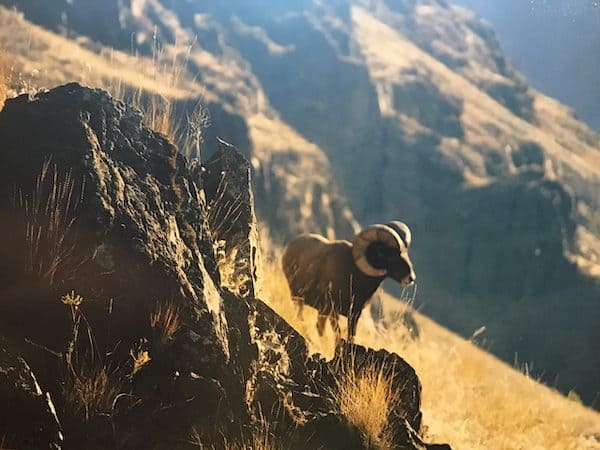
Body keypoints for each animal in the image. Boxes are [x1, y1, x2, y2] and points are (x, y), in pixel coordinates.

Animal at [280, 221, 412, 342]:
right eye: (389, 254)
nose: (411, 277)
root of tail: (289, 248)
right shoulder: (332, 311)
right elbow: (335, 333)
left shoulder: (353, 316)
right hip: (298, 298)